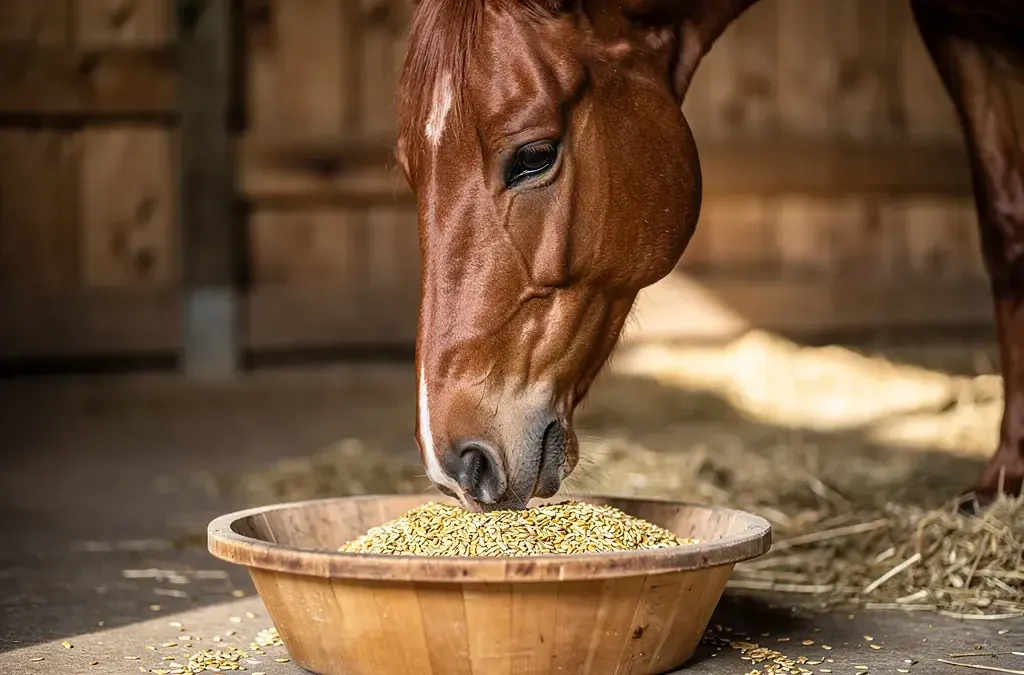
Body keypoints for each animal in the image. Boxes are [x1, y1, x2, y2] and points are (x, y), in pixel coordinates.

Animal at [392, 0, 1024, 513]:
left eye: (534, 155)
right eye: (409, 170)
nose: (454, 464)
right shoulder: (958, 31)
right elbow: (1005, 230)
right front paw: (1004, 480)